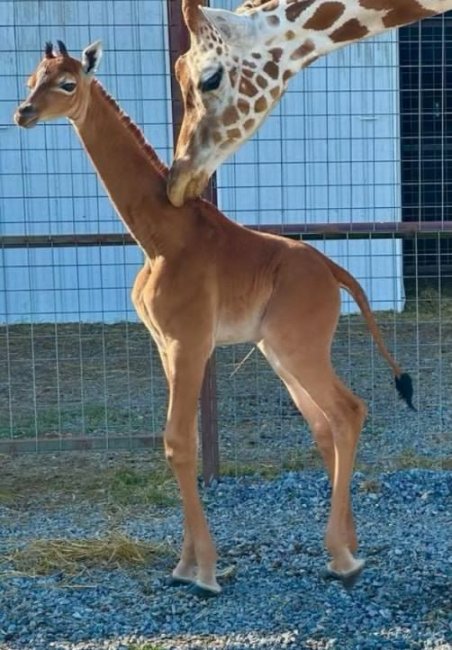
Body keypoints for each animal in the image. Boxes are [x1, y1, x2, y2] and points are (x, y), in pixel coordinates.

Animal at [15, 40, 414, 595]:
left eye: (68, 83)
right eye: (31, 78)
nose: (23, 113)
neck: (160, 236)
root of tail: (335, 271)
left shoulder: (190, 342)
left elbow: (179, 442)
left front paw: (202, 570)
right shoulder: (166, 345)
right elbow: (181, 443)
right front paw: (185, 564)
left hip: (299, 346)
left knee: (348, 410)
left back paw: (342, 557)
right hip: (278, 352)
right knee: (324, 422)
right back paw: (349, 546)